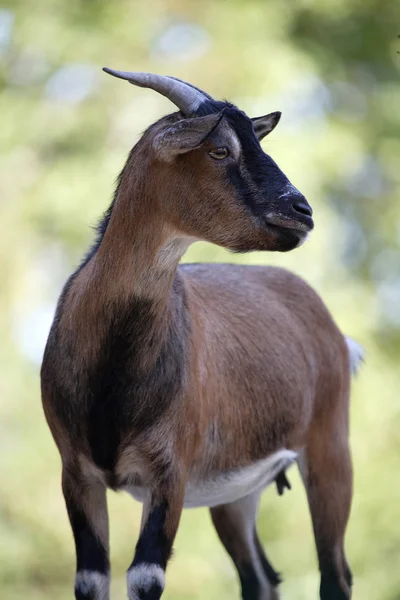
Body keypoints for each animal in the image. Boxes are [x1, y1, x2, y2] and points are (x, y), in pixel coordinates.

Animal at [40, 71, 362, 600]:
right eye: (219, 150)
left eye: (255, 141)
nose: (301, 211)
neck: (111, 370)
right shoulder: (76, 474)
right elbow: (91, 579)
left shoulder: (170, 473)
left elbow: (145, 578)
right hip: (236, 492)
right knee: (261, 580)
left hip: (330, 452)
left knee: (334, 574)